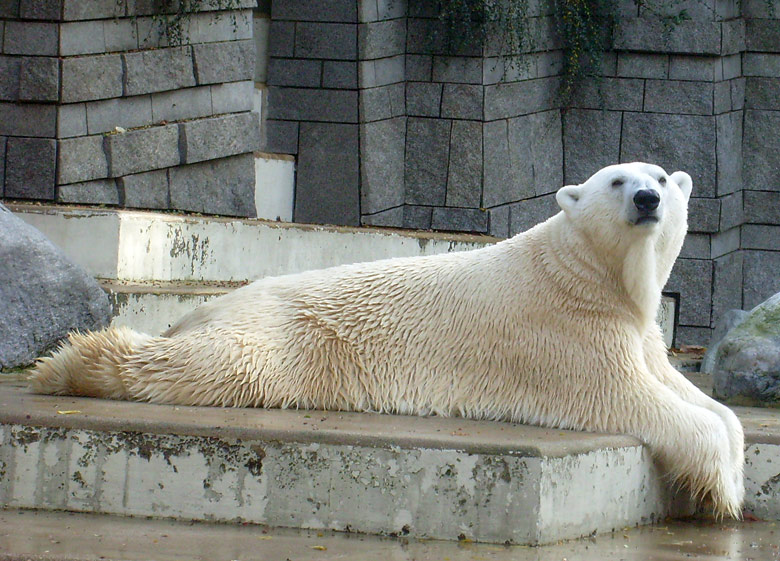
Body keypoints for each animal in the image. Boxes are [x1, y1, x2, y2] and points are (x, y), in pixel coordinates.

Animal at [32, 161, 744, 516]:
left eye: (660, 177)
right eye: (617, 180)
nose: (649, 199)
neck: (588, 273)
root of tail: (200, 312)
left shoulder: (635, 332)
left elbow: (706, 404)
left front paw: (731, 456)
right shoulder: (567, 332)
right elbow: (636, 400)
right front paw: (725, 493)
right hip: (282, 337)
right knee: (222, 366)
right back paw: (65, 364)